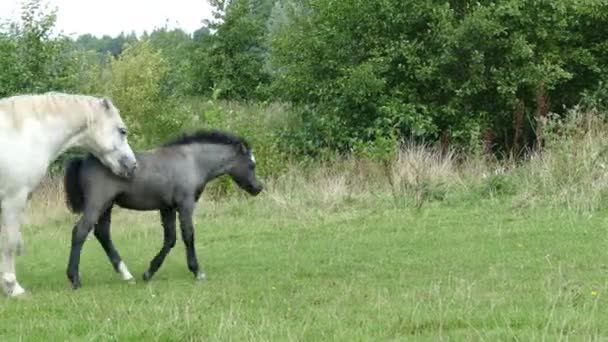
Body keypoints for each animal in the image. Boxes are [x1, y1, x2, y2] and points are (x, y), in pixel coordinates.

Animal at [0, 92, 138, 298]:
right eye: (122, 131)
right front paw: (13, 287)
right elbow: (10, 242)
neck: (23, 135)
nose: (132, 165)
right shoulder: (13, 199)